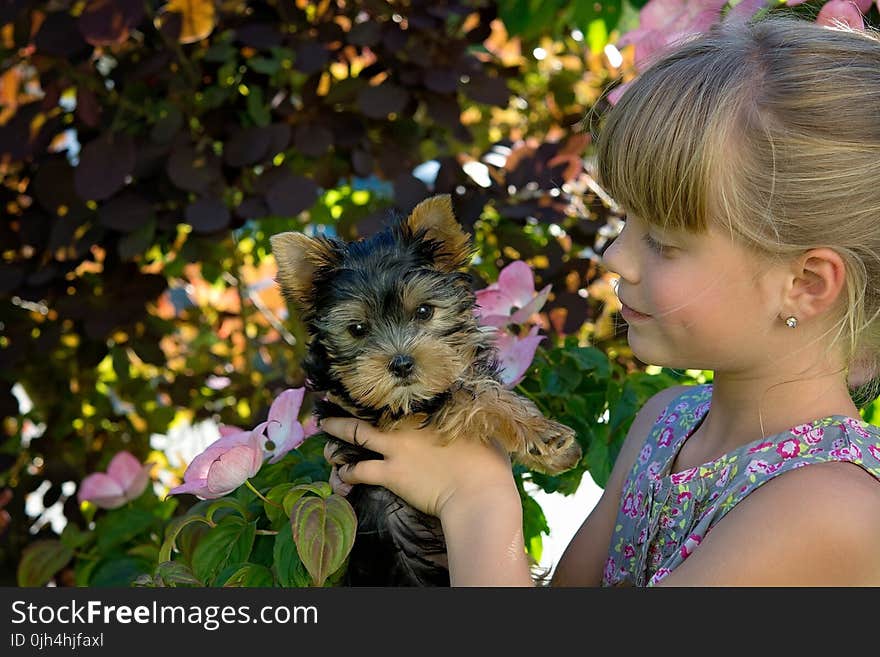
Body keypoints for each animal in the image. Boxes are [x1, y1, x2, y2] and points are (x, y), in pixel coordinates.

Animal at [272, 193, 580, 584]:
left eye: (423, 311)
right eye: (357, 329)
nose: (402, 363)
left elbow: (476, 384)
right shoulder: (384, 410)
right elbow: (469, 395)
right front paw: (543, 436)